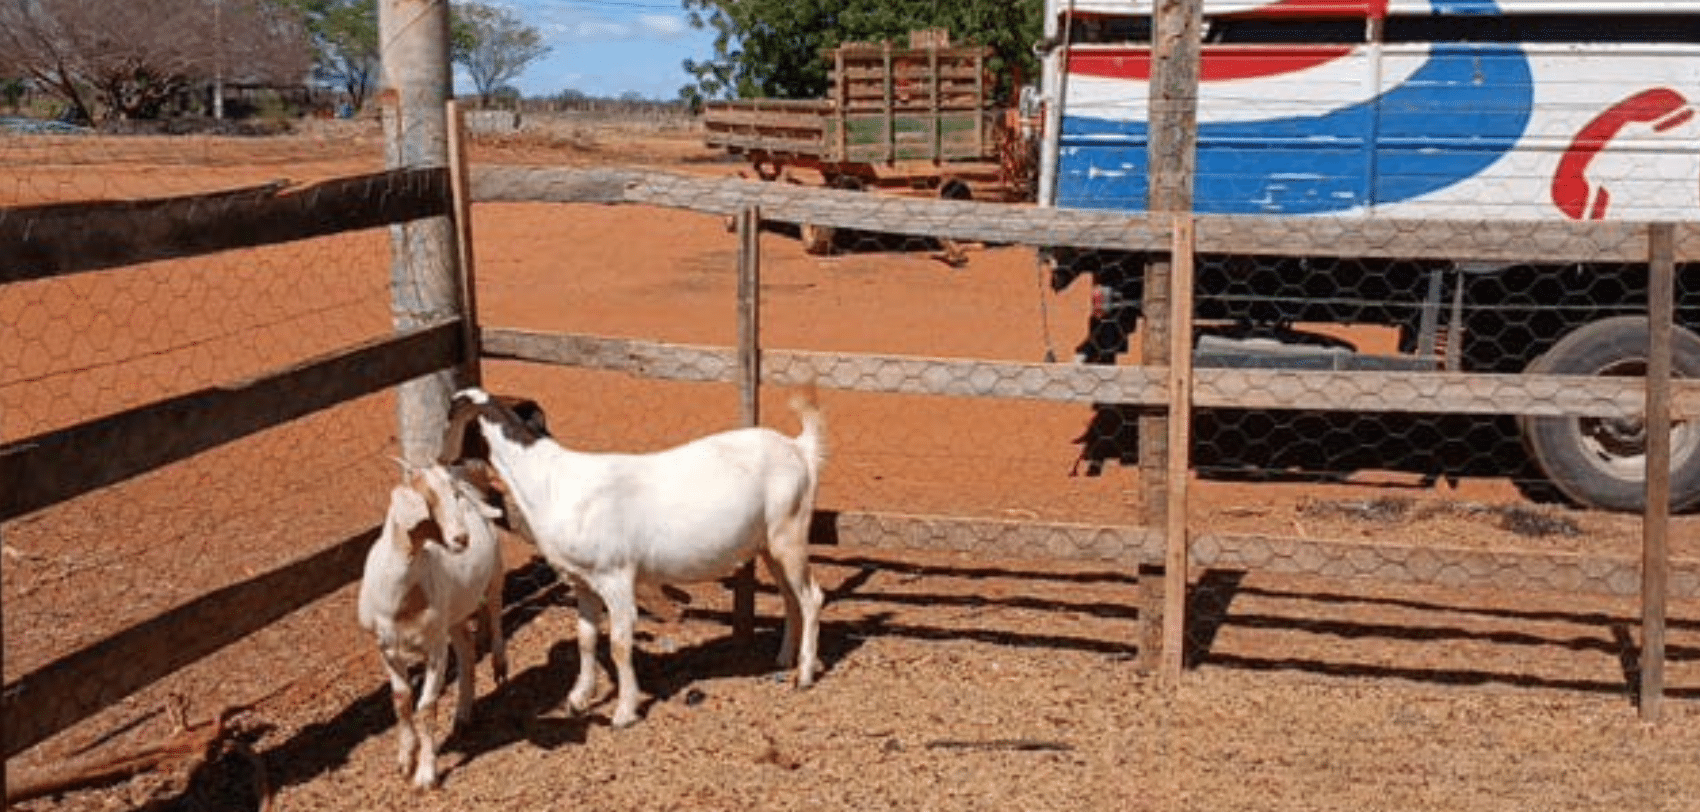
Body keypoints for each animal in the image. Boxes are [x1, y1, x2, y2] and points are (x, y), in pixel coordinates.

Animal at [357, 462, 509, 788]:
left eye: (453, 495)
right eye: (427, 499)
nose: (462, 539)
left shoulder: (435, 649)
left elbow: (426, 706)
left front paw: (426, 775)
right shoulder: (385, 648)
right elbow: (401, 700)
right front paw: (405, 759)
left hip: (494, 574)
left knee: (494, 611)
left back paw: (500, 665)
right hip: (452, 615)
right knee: (466, 650)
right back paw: (463, 715)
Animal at [438, 385, 826, 729]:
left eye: (448, 416)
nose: (440, 460)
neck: (550, 484)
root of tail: (798, 448)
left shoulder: (616, 575)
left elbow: (620, 644)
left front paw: (624, 712)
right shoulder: (582, 580)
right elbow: (586, 638)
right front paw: (578, 698)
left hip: (790, 532)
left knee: (812, 598)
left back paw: (804, 674)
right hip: (769, 543)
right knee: (791, 598)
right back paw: (784, 658)